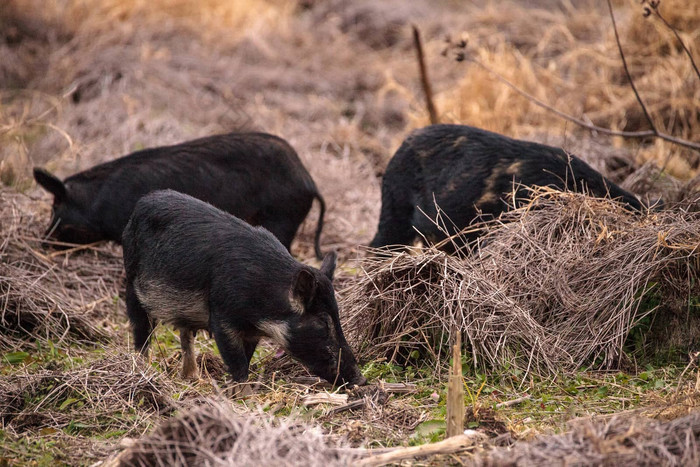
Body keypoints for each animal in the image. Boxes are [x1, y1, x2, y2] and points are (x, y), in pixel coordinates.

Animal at [121, 188, 366, 390]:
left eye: (337, 316)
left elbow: (246, 359)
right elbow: (237, 363)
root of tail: (141, 203)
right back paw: (142, 370)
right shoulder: (222, 317)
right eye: (322, 322)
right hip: (131, 282)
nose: (361, 379)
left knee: (185, 334)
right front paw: (243, 394)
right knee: (141, 334)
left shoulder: (251, 333)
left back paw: (192, 378)